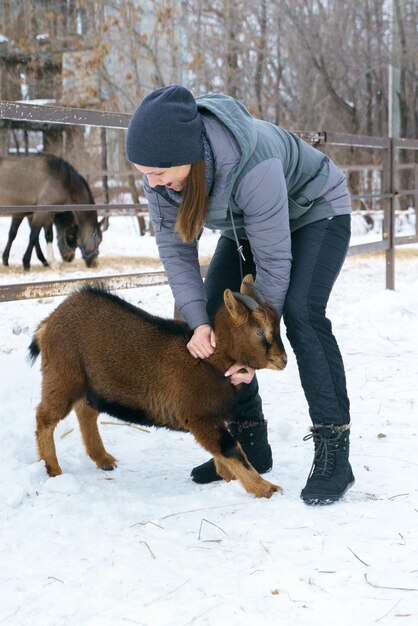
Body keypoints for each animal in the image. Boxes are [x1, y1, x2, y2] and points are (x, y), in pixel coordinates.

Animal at [29, 272, 288, 498]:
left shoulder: (213, 416)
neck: (211, 360)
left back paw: (103, 459)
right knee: (45, 416)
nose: (283, 360)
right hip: (63, 375)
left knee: (85, 412)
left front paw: (229, 478)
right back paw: (53, 469)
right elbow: (230, 448)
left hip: (92, 384)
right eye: (259, 332)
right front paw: (265, 488)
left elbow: (222, 453)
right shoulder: (199, 416)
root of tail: (48, 322)